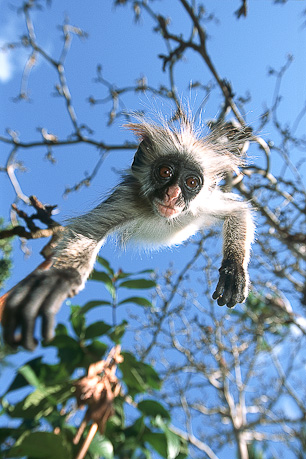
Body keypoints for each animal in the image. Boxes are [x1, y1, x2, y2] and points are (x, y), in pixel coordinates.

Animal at [2, 117, 255, 350]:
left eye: (191, 182)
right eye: (165, 172)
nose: (172, 194)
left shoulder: (202, 203)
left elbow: (238, 211)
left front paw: (234, 268)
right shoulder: (128, 200)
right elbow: (87, 231)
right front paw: (61, 277)